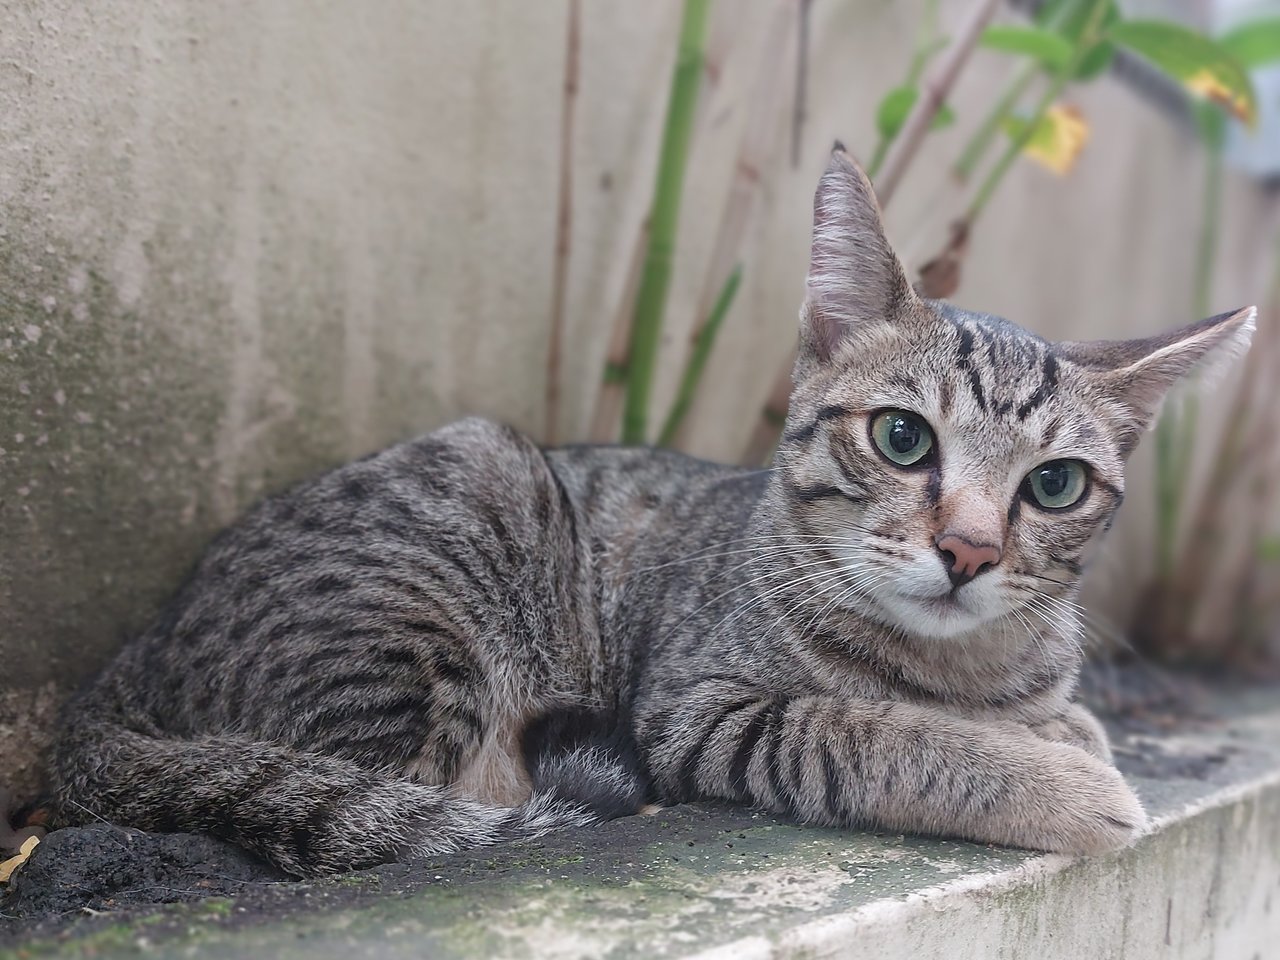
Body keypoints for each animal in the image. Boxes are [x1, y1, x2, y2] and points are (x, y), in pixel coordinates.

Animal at [47, 148, 1249, 880]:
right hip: (446, 558)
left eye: (1054, 486)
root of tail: (123, 663)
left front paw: (1062, 724)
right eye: (904, 438)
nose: (967, 548)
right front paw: (1060, 780)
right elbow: (874, 732)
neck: (959, 670)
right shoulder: (706, 710)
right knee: (406, 803)